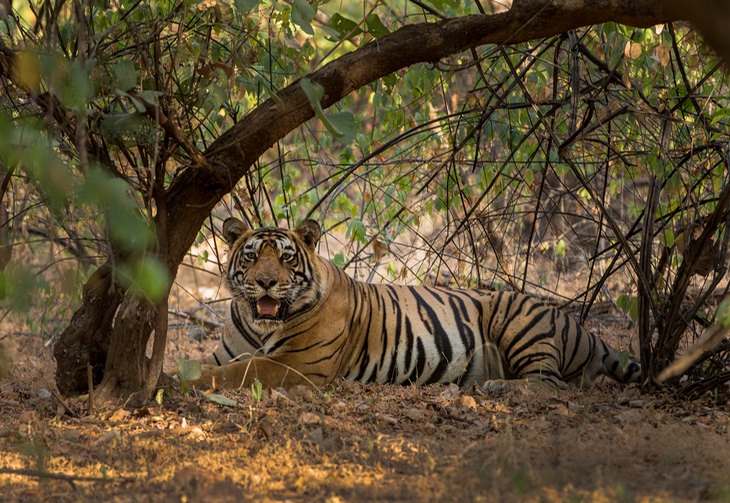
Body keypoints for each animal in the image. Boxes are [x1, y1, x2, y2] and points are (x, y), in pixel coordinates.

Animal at [191, 218, 640, 394]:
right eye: (251, 257)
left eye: (285, 259)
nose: (266, 282)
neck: (261, 325)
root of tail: (582, 328)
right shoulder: (229, 350)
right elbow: (214, 364)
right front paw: (177, 371)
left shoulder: (296, 363)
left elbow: (238, 373)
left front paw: (184, 382)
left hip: (516, 316)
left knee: (551, 384)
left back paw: (499, 388)